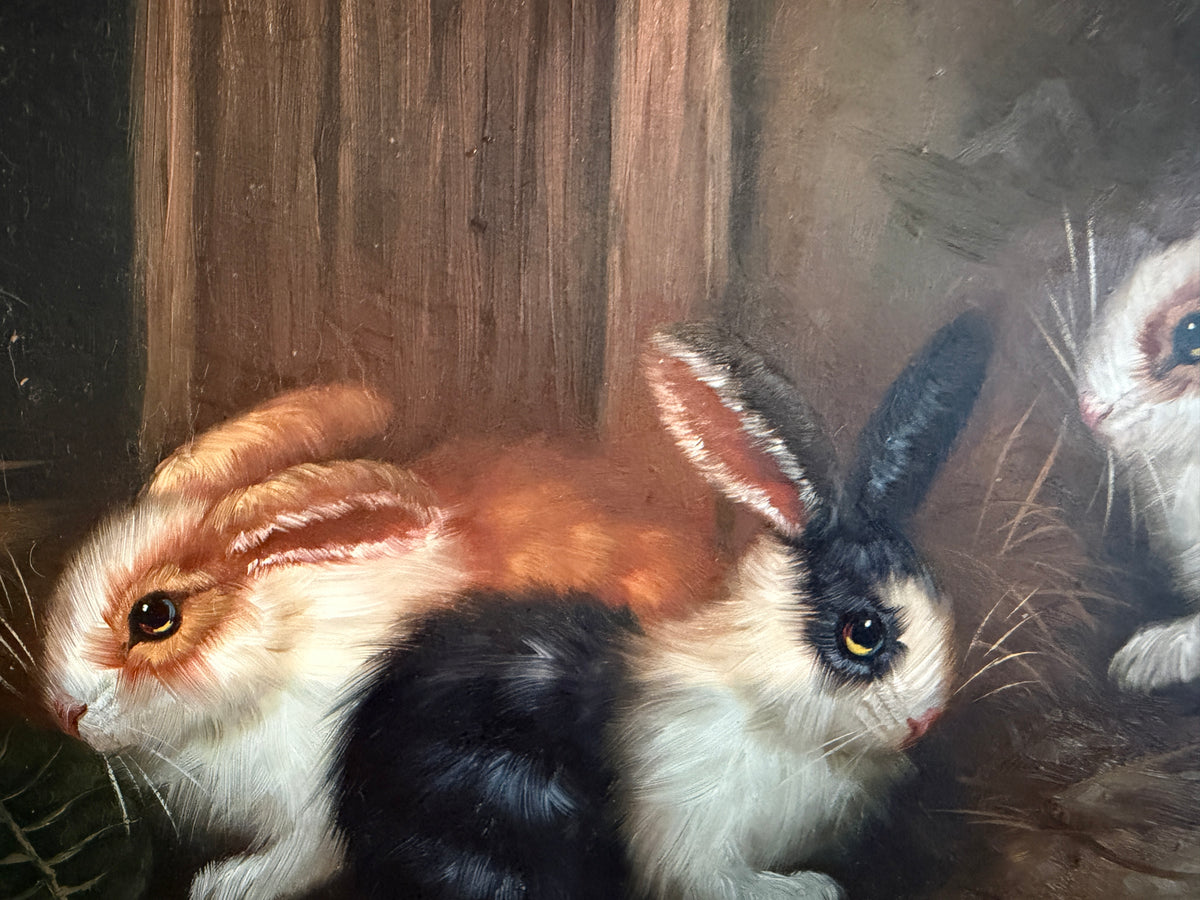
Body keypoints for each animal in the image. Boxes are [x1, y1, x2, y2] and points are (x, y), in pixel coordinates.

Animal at [334, 311, 994, 900]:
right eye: (864, 632)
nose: (926, 720)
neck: (772, 707)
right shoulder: (695, 846)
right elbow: (727, 884)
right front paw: (811, 888)